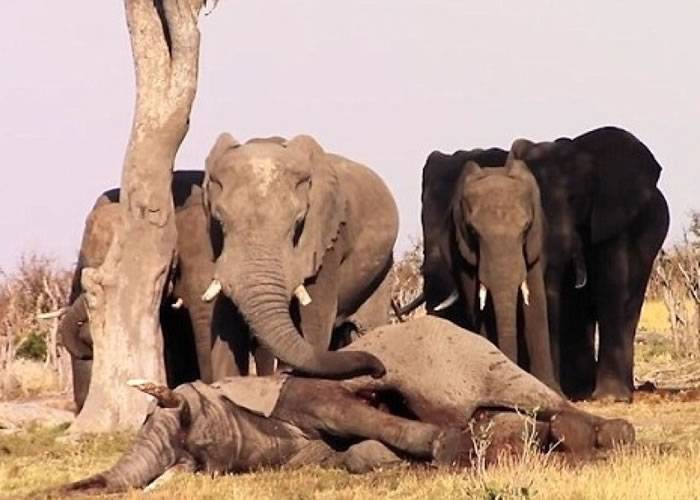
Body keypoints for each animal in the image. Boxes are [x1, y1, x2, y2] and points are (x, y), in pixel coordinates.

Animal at [54, 318, 636, 494]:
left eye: (184, 419)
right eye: (190, 459)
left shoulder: (302, 393)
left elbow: (344, 409)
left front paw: (449, 449)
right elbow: (356, 454)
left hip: (471, 354)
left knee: (537, 398)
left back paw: (602, 435)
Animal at [201, 133, 400, 378]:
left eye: (298, 222)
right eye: (219, 221)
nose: (379, 371)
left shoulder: (327, 241)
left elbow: (316, 321)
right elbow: (224, 328)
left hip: (383, 269)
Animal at [418, 141, 560, 390]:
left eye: (526, 228)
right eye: (473, 232)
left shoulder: (535, 244)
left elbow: (534, 301)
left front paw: (549, 389)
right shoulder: (462, 251)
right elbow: (479, 304)